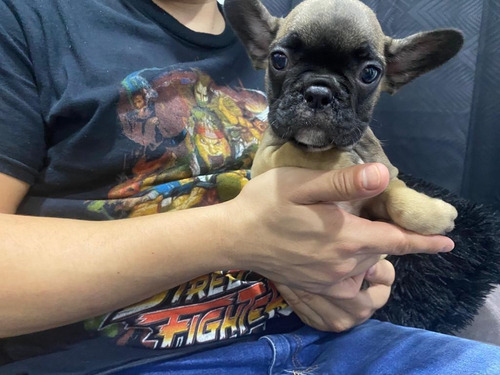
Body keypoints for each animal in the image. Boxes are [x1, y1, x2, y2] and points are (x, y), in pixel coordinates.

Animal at [225, 0, 462, 235]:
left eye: (369, 73)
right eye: (278, 59)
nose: (319, 93)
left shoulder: (380, 187)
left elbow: (395, 192)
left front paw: (430, 212)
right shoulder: (264, 160)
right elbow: (293, 152)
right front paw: (343, 162)